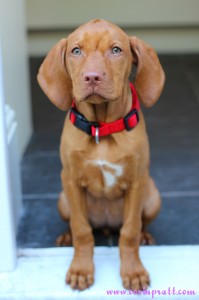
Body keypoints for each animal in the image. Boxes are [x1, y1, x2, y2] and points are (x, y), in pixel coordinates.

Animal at [37, 18, 165, 290]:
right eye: (76, 51)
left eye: (116, 50)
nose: (92, 77)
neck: (102, 128)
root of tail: (106, 225)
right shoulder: (71, 180)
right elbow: (82, 229)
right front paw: (80, 269)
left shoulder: (137, 181)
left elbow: (129, 231)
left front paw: (133, 271)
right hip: (63, 199)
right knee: (75, 224)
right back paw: (66, 237)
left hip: (153, 197)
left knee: (139, 224)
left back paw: (145, 236)